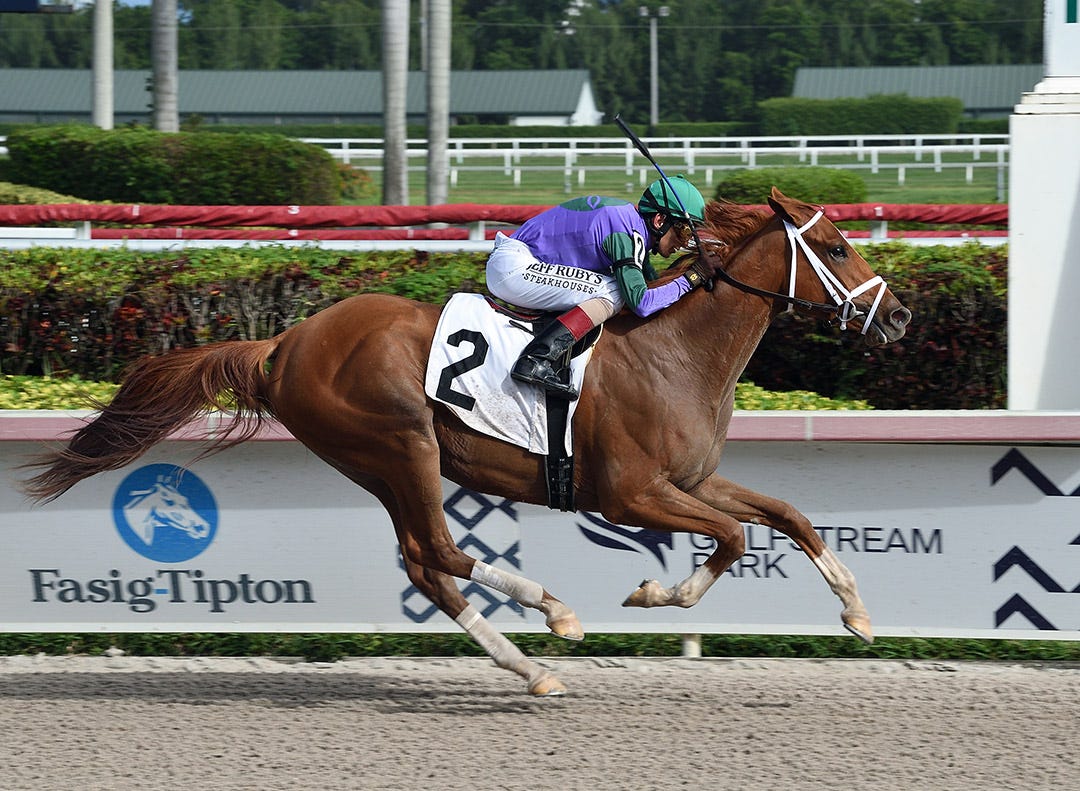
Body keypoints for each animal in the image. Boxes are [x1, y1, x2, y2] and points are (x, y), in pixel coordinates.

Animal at [21, 188, 911, 696]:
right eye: (835, 247)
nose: (898, 316)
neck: (675, 350)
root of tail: (286, 341)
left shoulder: (690, 479)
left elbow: (787, 515)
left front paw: (860, 614)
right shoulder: (631, 492)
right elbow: (731, 538)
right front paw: (655, 594)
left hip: (381, 463)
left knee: (426, 564)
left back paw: (530, 665)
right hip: (401, 443)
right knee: (440, 552)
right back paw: (554, 620)